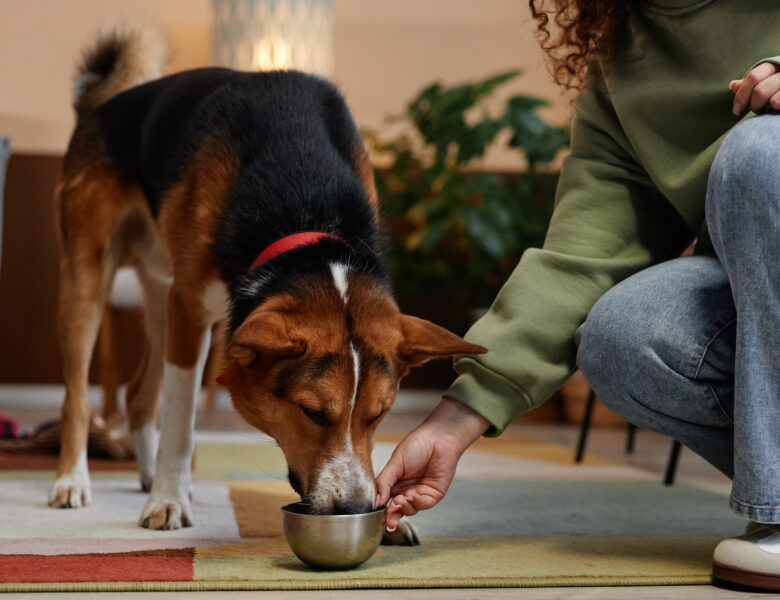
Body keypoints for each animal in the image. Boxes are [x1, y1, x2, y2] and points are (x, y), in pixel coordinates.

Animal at [48, 29, 484, 544]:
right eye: (312, 412)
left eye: (379, 415)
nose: (357, 508)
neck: (306, 213)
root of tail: (100, 104)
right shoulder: (189, 311)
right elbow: (180, 421)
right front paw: (168, 501)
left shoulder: (184, 308)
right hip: (89, 281)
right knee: (78, 396)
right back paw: (73, 481)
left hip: (159, 290)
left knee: (138, 396)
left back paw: (148, 475)